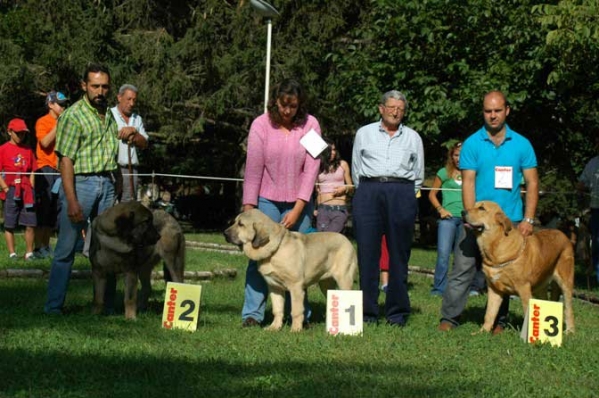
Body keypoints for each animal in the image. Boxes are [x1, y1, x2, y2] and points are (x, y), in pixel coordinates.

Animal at [224, 208, 356, 332]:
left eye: (241, 224)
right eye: (234, 222)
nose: (224, 233)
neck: (274, 251)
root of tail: (347, 240)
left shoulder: (295, 286)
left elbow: (296, 310)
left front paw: (295, 329)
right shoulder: (274, 287)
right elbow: (277, 309)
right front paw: (274, 327)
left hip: (344, 279)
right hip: (326, 284)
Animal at [464, 201, 576, 334]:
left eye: (482, 208)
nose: (462, 212)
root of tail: (563, 234)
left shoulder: (524, 289)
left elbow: (528, 315)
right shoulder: (494, 289)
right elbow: (489, 313)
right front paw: (483, 332)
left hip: (565, 282)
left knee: (568, 308)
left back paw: (570, 330)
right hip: (539, 287)